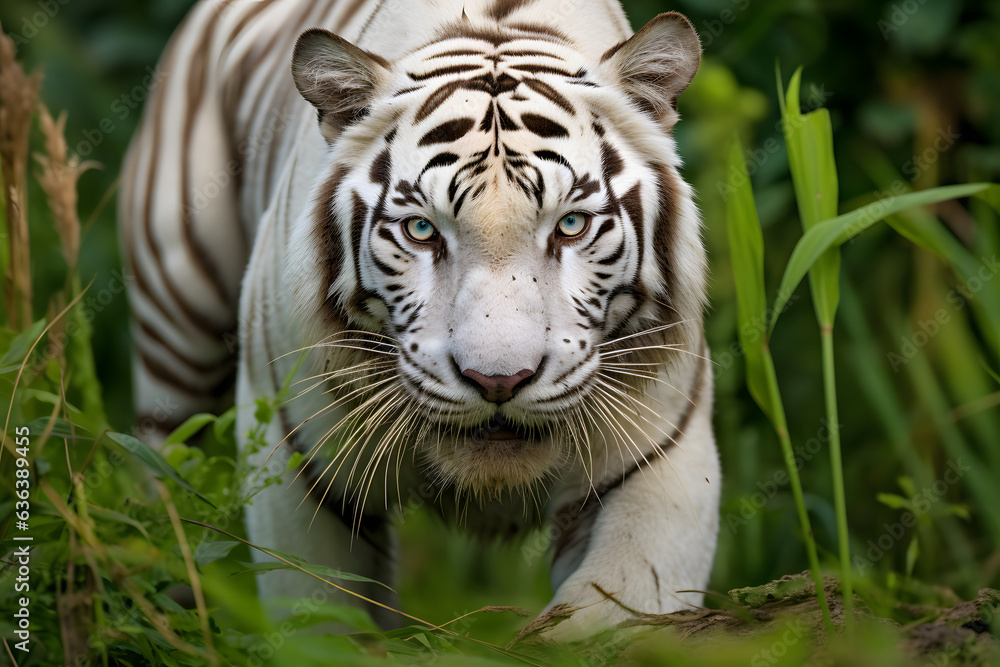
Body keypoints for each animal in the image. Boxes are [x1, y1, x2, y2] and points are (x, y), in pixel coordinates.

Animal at [119, 0, 719, 640]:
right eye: (422, 230)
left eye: (571, 225)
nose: (498, 381)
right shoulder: (299, 467)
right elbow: (320, 618)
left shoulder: (658, 459)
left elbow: (612, 611)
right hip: (175, 335)